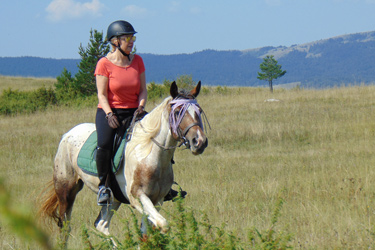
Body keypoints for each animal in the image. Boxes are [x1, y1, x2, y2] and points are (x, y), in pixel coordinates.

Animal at [38, 81, 209, 244]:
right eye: (177, 111)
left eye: (199, 111)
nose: (199, 141)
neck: (152, 156)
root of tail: (67, 134)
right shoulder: (138, 197)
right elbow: (163, 224)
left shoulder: (158, 200)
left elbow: (147, 233)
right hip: (66, 190)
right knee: (65, 227)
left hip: (113, 199)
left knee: (100, 224)